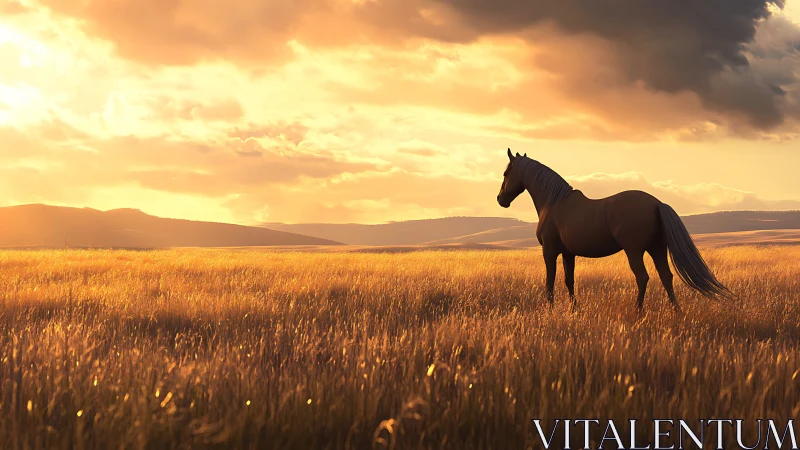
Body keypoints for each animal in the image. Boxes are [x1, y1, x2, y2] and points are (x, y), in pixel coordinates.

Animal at [496, 148, 730, 311]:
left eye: (506, 173)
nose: (500, 200)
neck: (554, 203)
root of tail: (656, 203)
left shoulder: (550, 252)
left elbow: (550, 282)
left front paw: (551, 310)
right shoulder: (568, 253)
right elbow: (569, 281)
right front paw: (574, 310)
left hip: (635, 251)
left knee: (643, 277)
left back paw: (638, 311)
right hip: (657, 249)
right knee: (666, 276)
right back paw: (676, 311)